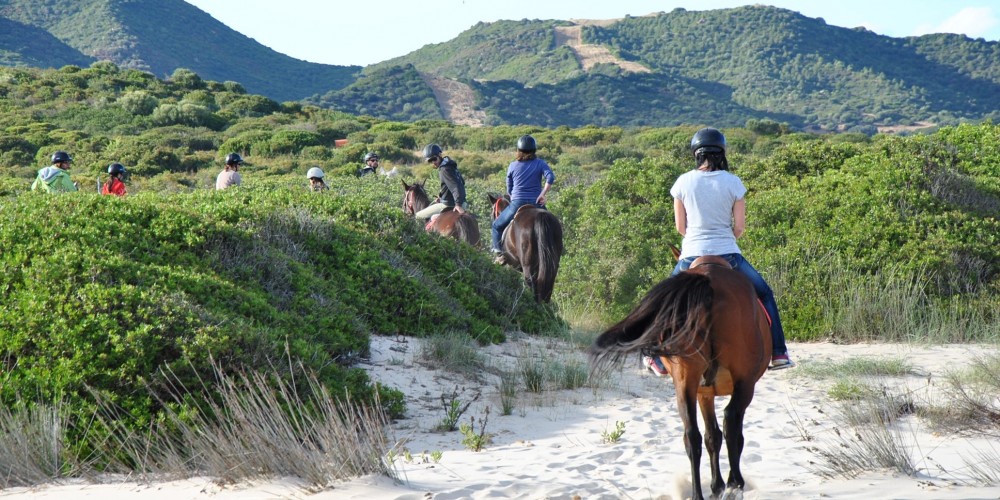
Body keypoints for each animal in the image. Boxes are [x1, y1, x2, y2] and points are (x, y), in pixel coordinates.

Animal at [588, 258, 768, 500]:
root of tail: (708, 278)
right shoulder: (729, 388)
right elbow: (728, 435)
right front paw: (722, 484)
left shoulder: (703, 393)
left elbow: (711, 437)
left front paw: (716, 486)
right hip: (744, 383)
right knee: (731, 423)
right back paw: (735, 484)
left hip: (684, 382)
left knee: (692, 435)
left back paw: (700, 493)